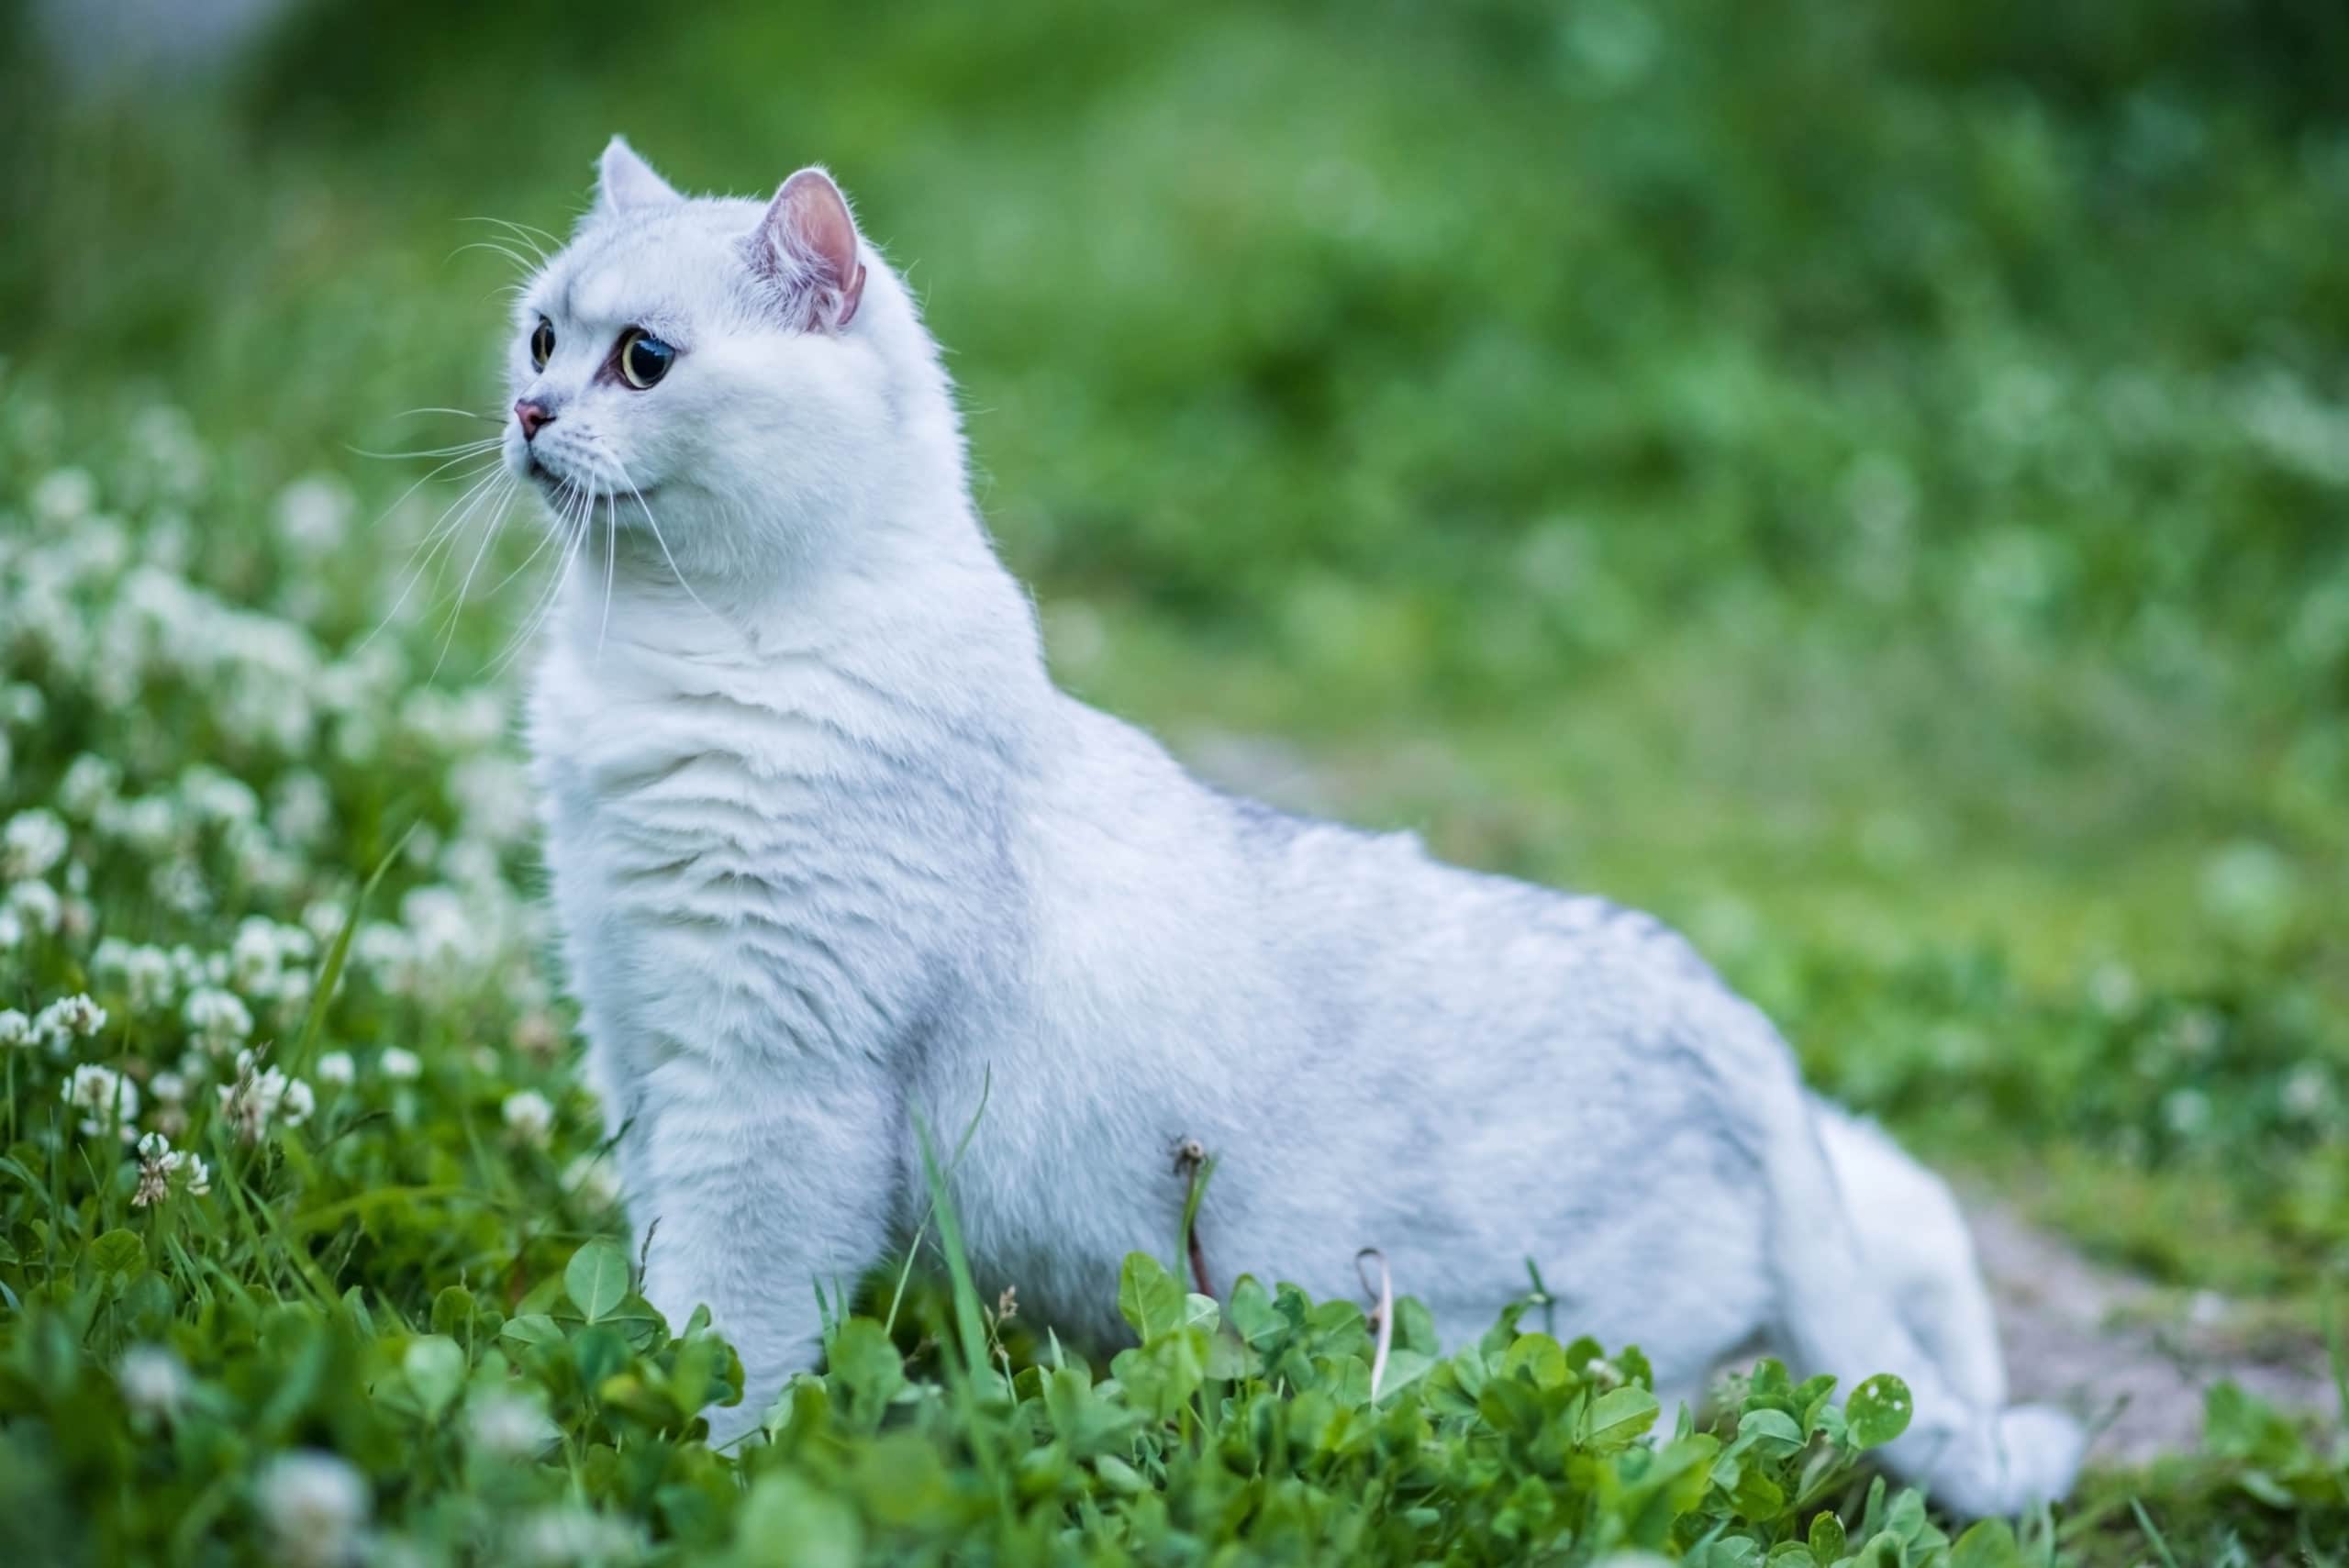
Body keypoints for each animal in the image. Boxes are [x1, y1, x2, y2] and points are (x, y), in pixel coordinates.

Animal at [509, 140, 2076, 1511]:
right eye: (537, 342)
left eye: (642, 360)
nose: (528, 417)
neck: (663, 653)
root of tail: (1733, 1028)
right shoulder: (642, 1053)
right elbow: (657, 1287)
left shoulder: (771, 1095)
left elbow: (728, 1335)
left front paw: (695, 1464)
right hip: (1859, 1175)